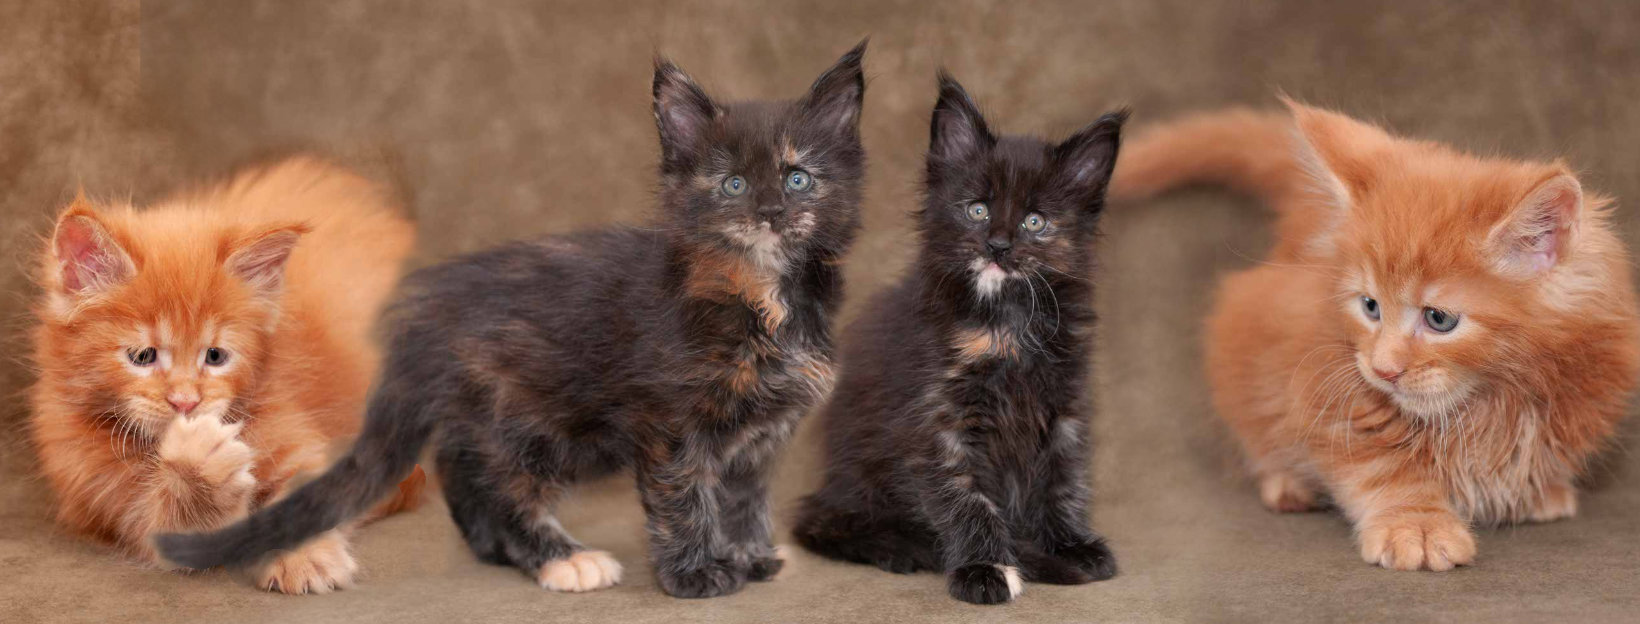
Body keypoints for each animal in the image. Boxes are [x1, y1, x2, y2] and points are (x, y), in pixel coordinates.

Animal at [28, 156, 426, 594]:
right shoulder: (104, 492)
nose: (186, 402)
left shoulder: (298, 437)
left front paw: (303, 558)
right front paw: (197, 468)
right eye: (143, 356)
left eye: (215, 356)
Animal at [154, 43, 872, 601]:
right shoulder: (671, 424)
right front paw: (696, 574)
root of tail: (427, 310)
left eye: (799, 178)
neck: (759, 296)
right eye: (732, 186)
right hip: (532, 418)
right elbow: (685, 498)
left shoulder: (764, 431)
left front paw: (751, 557)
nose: (771, 212)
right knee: (495, 485)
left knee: (464, 474)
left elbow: (743, 498)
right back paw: (560, 559)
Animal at [793, 73, 1128, 604]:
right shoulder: (937, 420)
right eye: (976, 210)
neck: (1007, 321)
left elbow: (1063, 479)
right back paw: (898, 547)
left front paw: (1069, 544)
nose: (998, 245)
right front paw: (986, 567)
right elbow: (964, 496)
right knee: (823, 522)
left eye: (1035, 221)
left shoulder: (1064, 405)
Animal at [1108, 100, 1633, 571]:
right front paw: (1416, 524)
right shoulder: (1327, 384)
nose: (1383, 369)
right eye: (1370, 306)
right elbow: (1382, 467)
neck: (1492, 397)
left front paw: (1537, 491)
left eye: (1438, 319)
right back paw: (1288, 483)